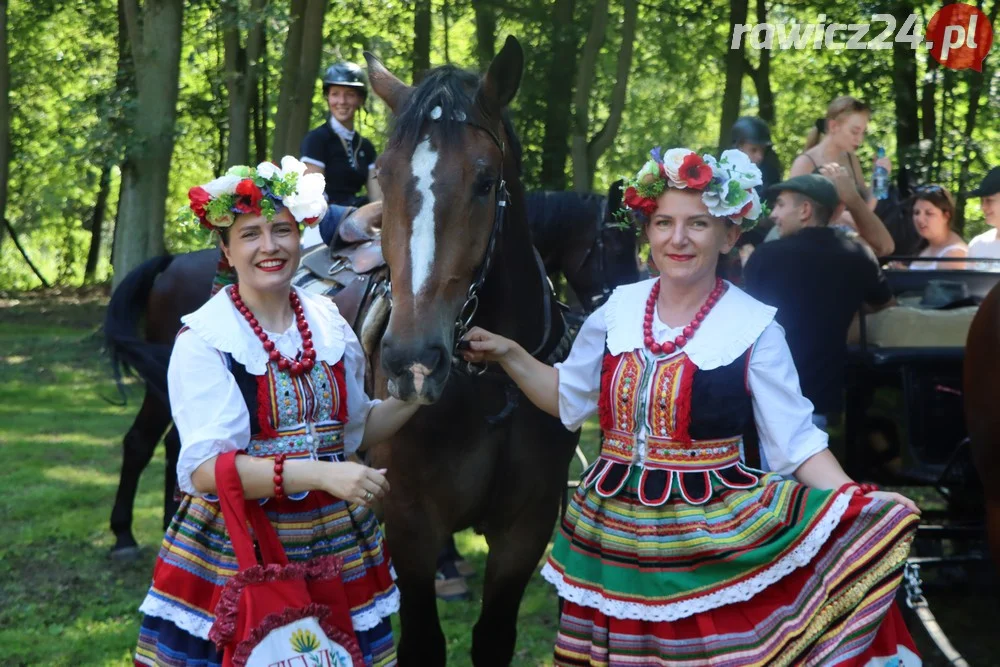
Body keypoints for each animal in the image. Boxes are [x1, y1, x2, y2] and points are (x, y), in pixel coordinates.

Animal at [364, 39, 576, 664]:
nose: (412, 360)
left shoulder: (525, 527)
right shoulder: (409, 522)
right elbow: (423, 642)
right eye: (383, 176)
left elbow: (493, 637)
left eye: (485, 181)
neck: (490, 388)